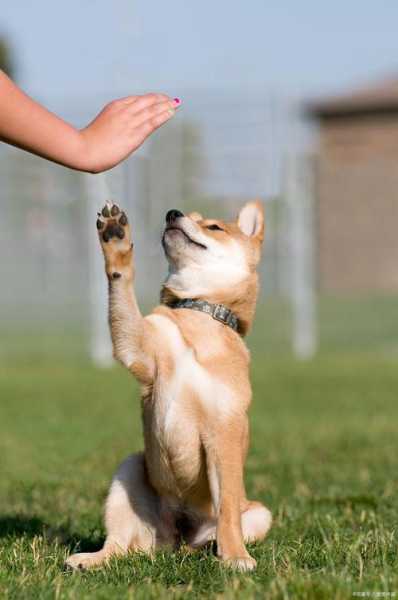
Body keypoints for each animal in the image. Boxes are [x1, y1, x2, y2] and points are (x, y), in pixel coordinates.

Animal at [66, 200, 270, 572]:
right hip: (130, 470)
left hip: (260, 513)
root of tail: (175, 539)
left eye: (214, 227)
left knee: (217, 529)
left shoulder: (224, 430)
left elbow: (228, 509)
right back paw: (91, 559)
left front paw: (236, 557)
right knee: (120, 545)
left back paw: (210, 549)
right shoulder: (139, 351)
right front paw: (116, 239)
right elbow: (124, 299)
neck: (197, 316)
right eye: (190, 214)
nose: (173, 214)